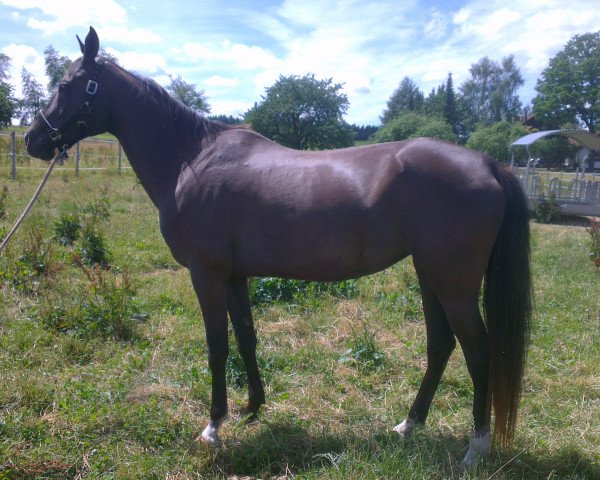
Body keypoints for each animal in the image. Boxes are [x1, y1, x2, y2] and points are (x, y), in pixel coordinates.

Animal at [24, 27, 528, 464]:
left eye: (67, 84)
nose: (33, 139)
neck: (191, 159)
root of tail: (486, 163)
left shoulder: (206, 274)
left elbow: (217, 346)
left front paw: (213, 425)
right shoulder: (235, 276)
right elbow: (246, 337)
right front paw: (252, 408)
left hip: (454, 283)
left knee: (478, 350)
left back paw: (475, 448)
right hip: (429, 274)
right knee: (441, 343)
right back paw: (409, 424)